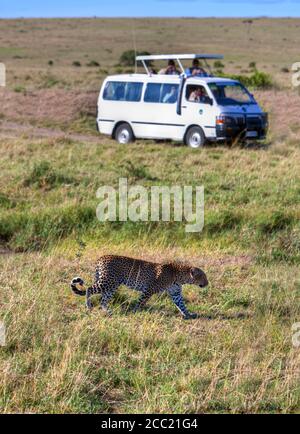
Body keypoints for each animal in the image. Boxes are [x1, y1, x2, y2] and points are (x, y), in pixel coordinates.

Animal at [71, 254, 209, 318]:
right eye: (203, 276)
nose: (207, 283)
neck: (180, 277)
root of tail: (101, 257)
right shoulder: (149, 290)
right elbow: (141, 302)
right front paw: (135, 311)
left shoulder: (175, 293)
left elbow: (182, 305)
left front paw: (188, 314)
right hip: (107, 282)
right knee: (89, 289)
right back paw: (88, 306)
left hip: (112, 286)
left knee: (103, 299)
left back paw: (108, 311)